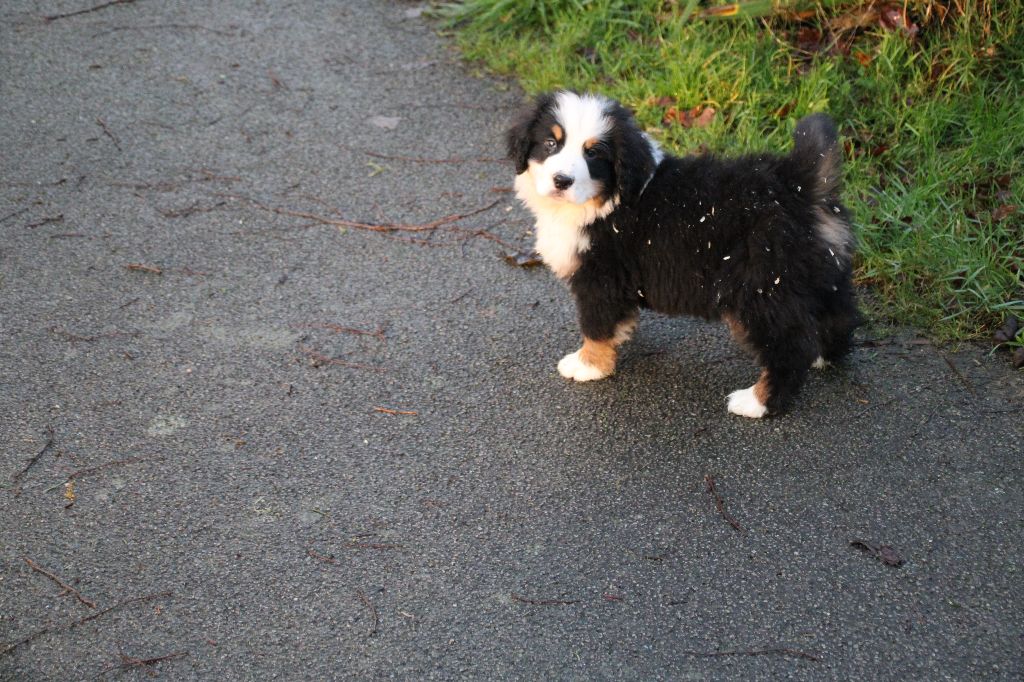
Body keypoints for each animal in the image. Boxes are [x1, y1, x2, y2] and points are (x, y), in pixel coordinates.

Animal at [507, 91, 860, 413]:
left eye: (592, 153)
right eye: (550, 144)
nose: (562, 180)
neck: (606, 200)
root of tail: (798, 184)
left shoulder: (601, 277)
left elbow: (595, 324)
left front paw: (587, 364)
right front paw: (617, 339)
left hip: (762, 288)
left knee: (789, 347)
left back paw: (757, 402)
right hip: (818, 275)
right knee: (838, 317)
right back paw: (822, 357)